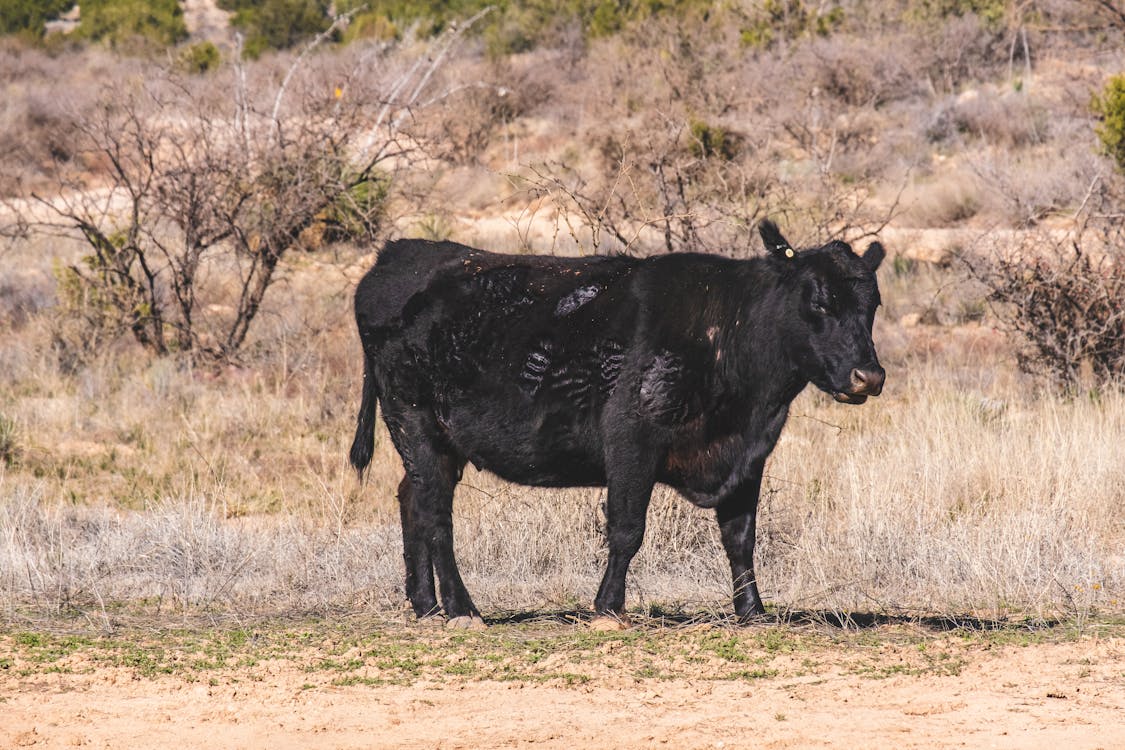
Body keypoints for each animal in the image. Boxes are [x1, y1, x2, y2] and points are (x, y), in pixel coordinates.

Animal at [351, 221, 886, 629]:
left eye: (872, 306)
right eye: (818, 302)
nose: (869, 375)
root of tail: (398, 254)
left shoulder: (748, 455)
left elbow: (741, 537)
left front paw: (752, 611)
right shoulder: (632, 440)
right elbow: (628, 529)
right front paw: (608, 608)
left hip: (440, 441)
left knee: (412, 500)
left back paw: (426, 606)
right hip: (416, 422)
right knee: (436, 513)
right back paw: (462, 610)